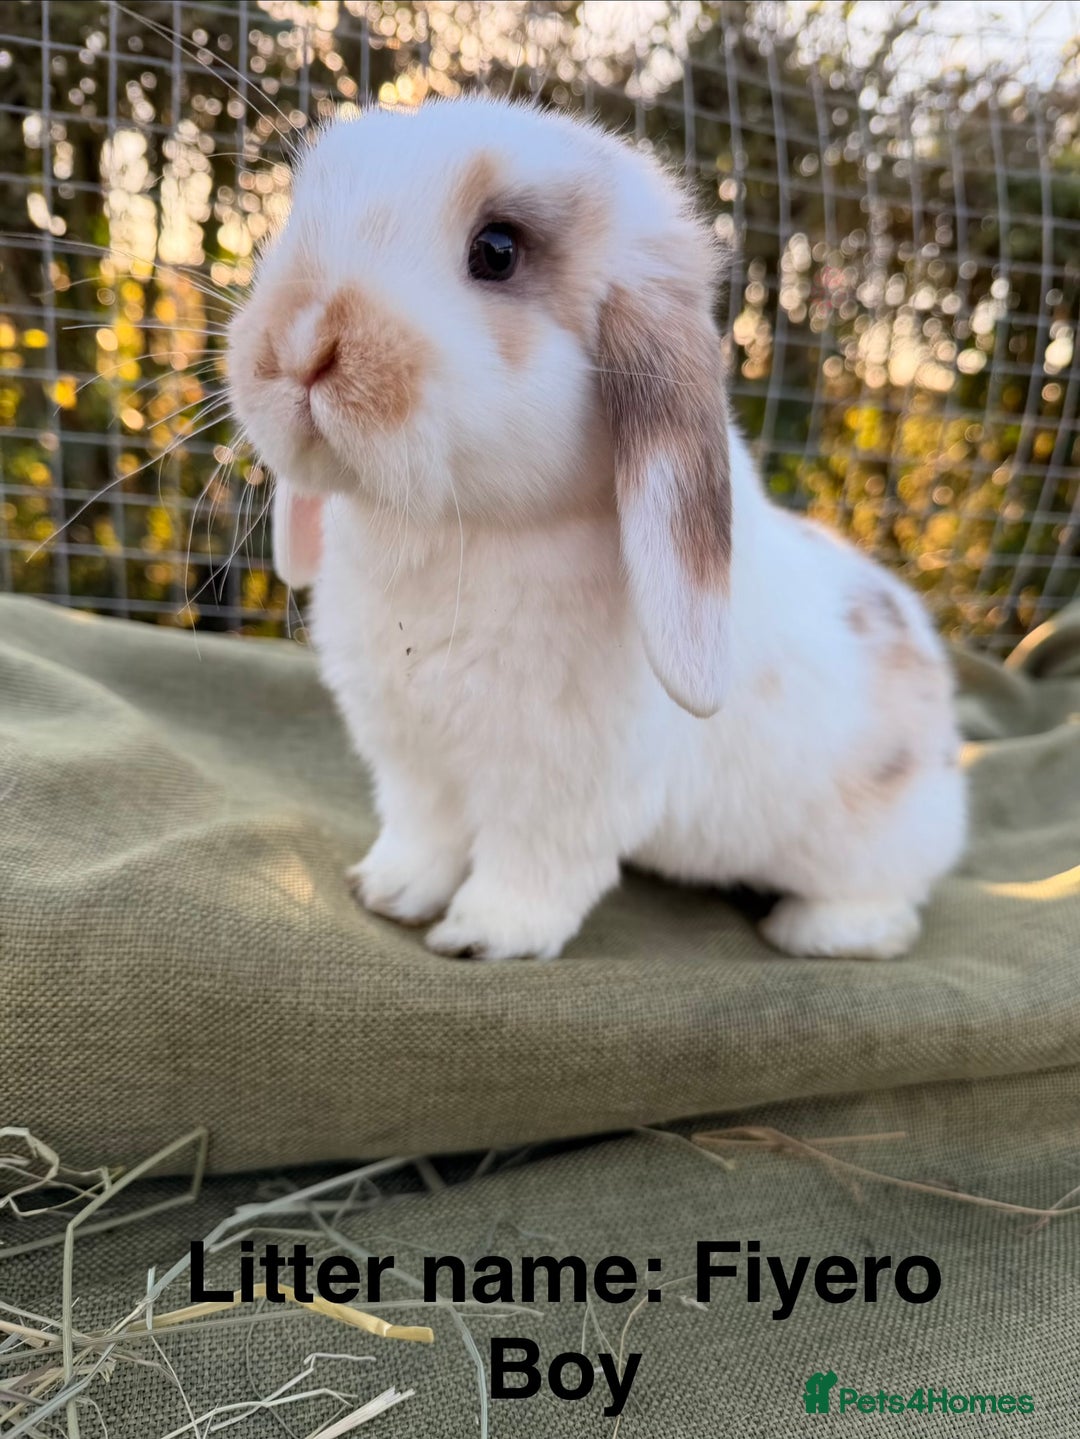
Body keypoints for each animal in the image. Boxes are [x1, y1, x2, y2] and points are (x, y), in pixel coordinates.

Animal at [227, 95, 966, 962]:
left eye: (498, 250)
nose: (301, 341)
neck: (453, 536)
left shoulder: (563, 783)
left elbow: (534, 862)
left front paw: (484, 935)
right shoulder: (414, 758)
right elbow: (423, 833)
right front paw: (388, 893)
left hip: (877, 839)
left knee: (894, 903)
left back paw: (819, 929)